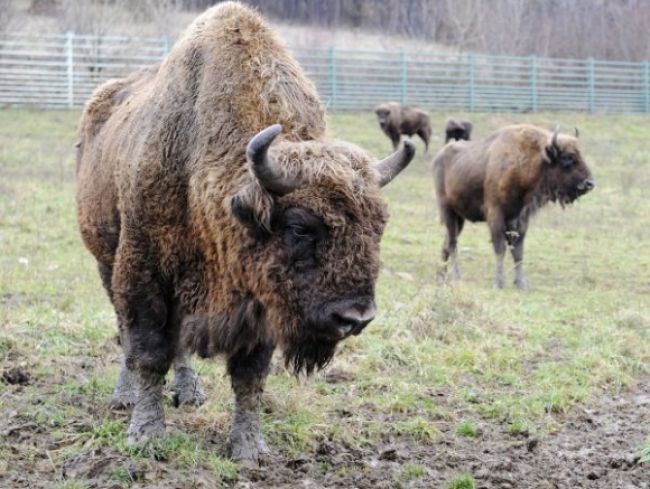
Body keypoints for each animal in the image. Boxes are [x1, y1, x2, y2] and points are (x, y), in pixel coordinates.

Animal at [73, 0, 412, 466]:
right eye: (299, 226)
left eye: (379, 226)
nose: (356, 318)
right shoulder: (143, 273)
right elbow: (146, 352)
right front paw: (146, 435)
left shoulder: (262, 302)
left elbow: (249, 377)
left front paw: (250, 449)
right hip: (105, 261)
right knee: (128, 334)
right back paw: (125, 398)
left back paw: (189, 393)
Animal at [430, 124, 592, 288]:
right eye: (567, 157)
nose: (589, 183)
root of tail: (438, 157)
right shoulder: (496, 214)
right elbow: (500, 248)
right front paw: (498, 283)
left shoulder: (520, 218)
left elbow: (518, 250)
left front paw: (521, 283)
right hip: (448, 211)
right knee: (452, 243)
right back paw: (456, 276)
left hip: (460, 217)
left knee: (446, 243)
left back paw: (441, 276)